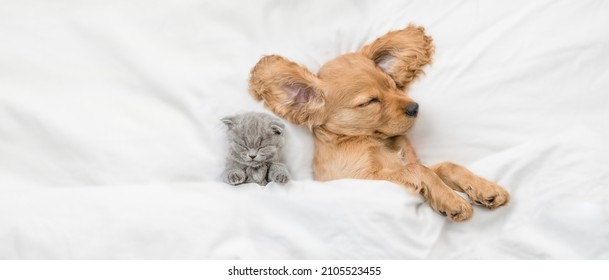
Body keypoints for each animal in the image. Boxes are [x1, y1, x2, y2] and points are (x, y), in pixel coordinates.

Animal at [247, 24, 508, 221]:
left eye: (391, 85)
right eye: (370, 101)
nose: (415, 107)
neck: (374, 140)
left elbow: (446, 166)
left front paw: (486, 189)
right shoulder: (366, 179)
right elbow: (419, 169)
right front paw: (452, 200)